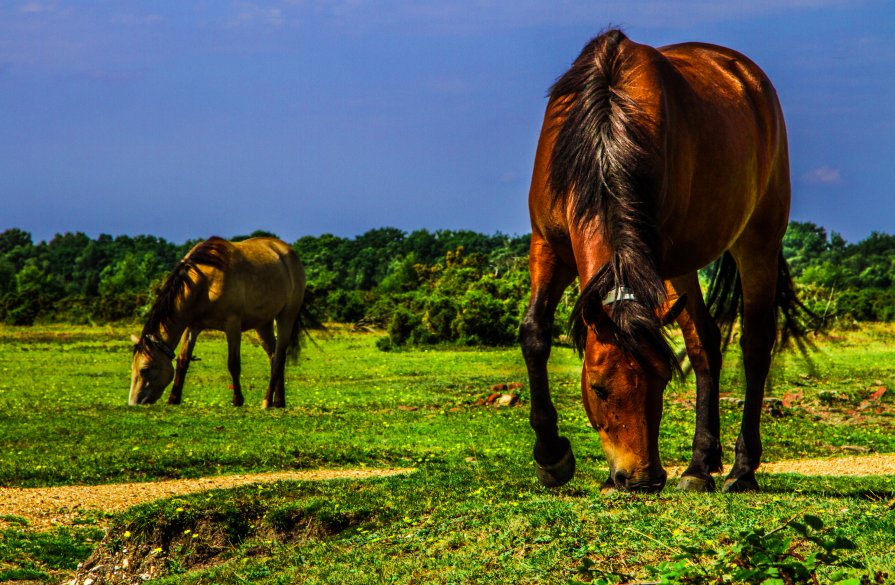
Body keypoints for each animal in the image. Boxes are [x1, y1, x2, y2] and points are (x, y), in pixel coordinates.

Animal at [130, 235, 312, 408]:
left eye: (145, 369)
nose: (133, 402)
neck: (206, 281)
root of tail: (287, 251)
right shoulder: (192, 326)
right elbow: (183, 361)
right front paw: (173, 399)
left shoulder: (233, 324)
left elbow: (233, 364)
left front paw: (237, 400)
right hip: (263, 323)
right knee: (273, 356)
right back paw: (279, 401)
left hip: (286, 316)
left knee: (279, 357)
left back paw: (267, 401)